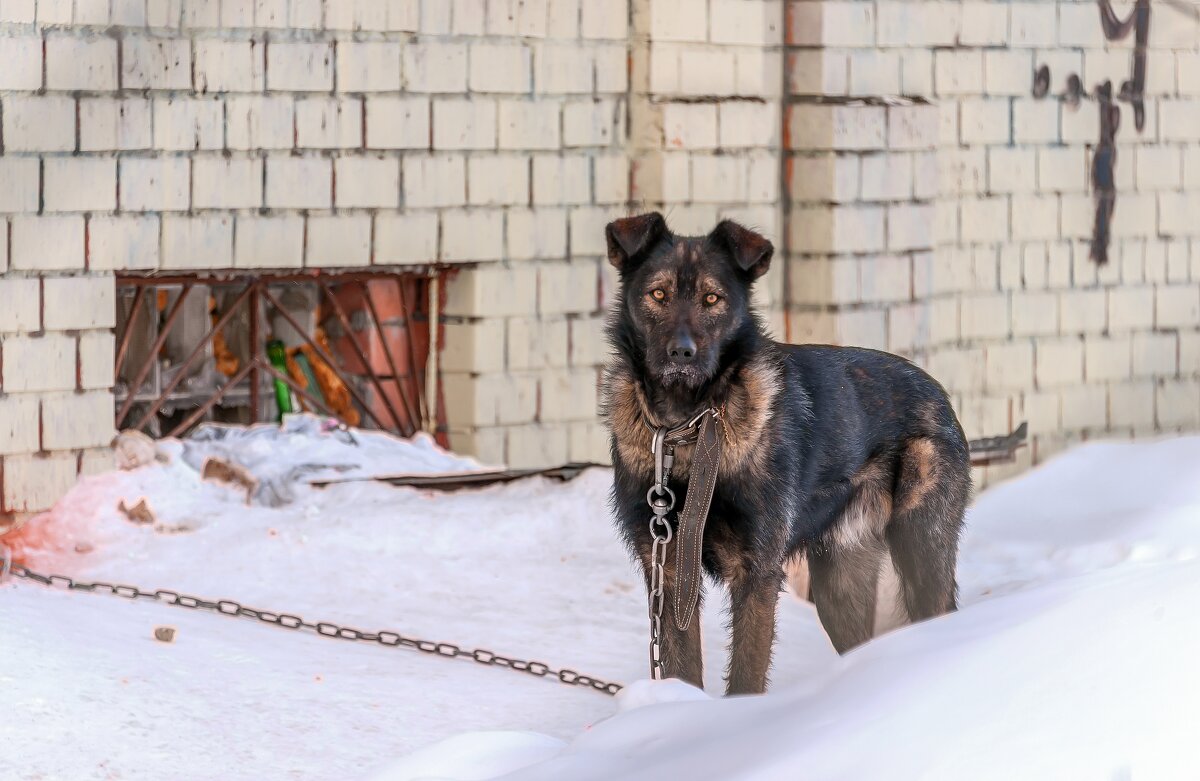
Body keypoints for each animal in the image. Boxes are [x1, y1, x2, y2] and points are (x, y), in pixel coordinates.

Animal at [604, 212, 969, 695]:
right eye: (658, 295)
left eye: (712, 298)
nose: (682, 353)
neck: (686, 429)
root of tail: (939, 392)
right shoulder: (667, 569)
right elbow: (683, 669)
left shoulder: (756, 572)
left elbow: (746, 673)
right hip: (840, 584)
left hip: (921, 546)